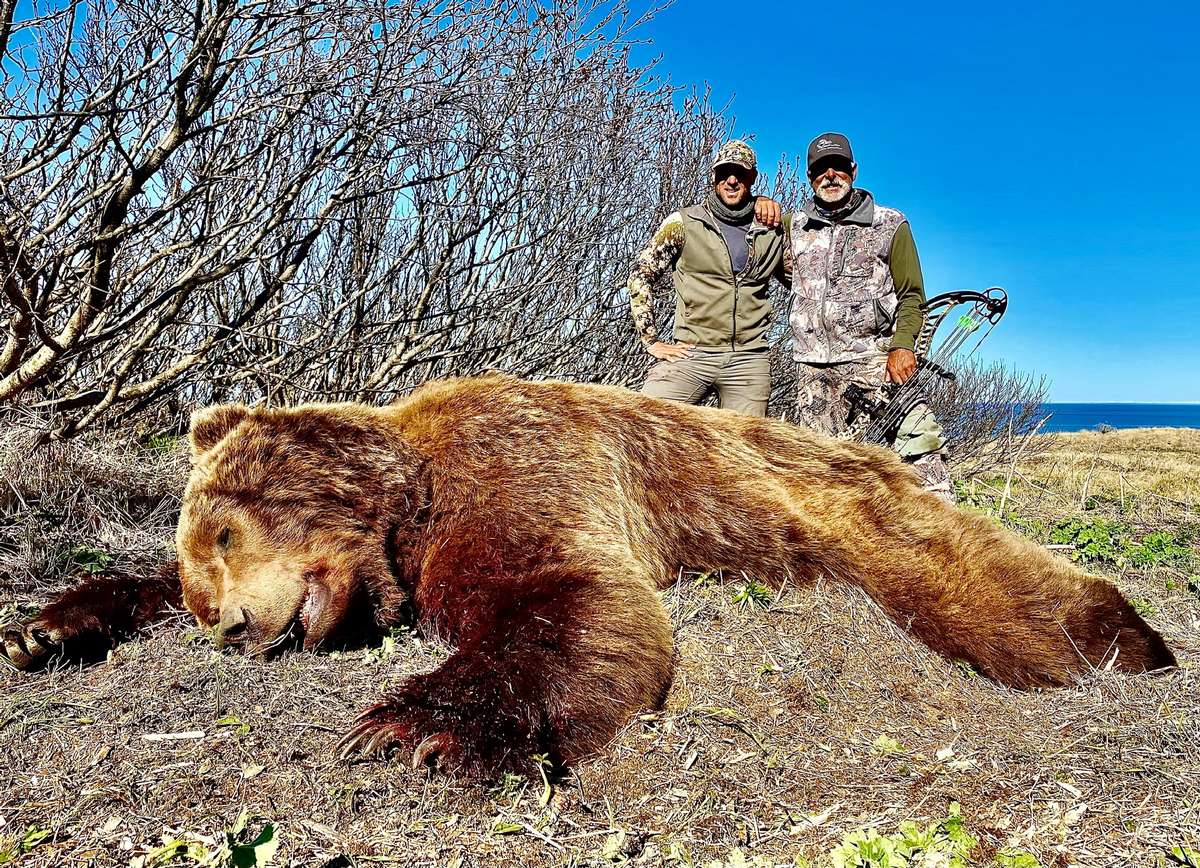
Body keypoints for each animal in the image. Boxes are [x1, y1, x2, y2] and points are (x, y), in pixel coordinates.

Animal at [0, 372, 1176, 773]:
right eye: (200, 582)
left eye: (227, 531)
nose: (237, 628)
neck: (406, 506)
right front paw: (46, 626)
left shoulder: (512, 471)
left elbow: (570, 595)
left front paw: (414, 727)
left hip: (860, 519)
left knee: (991, 590)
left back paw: (1134, 639)